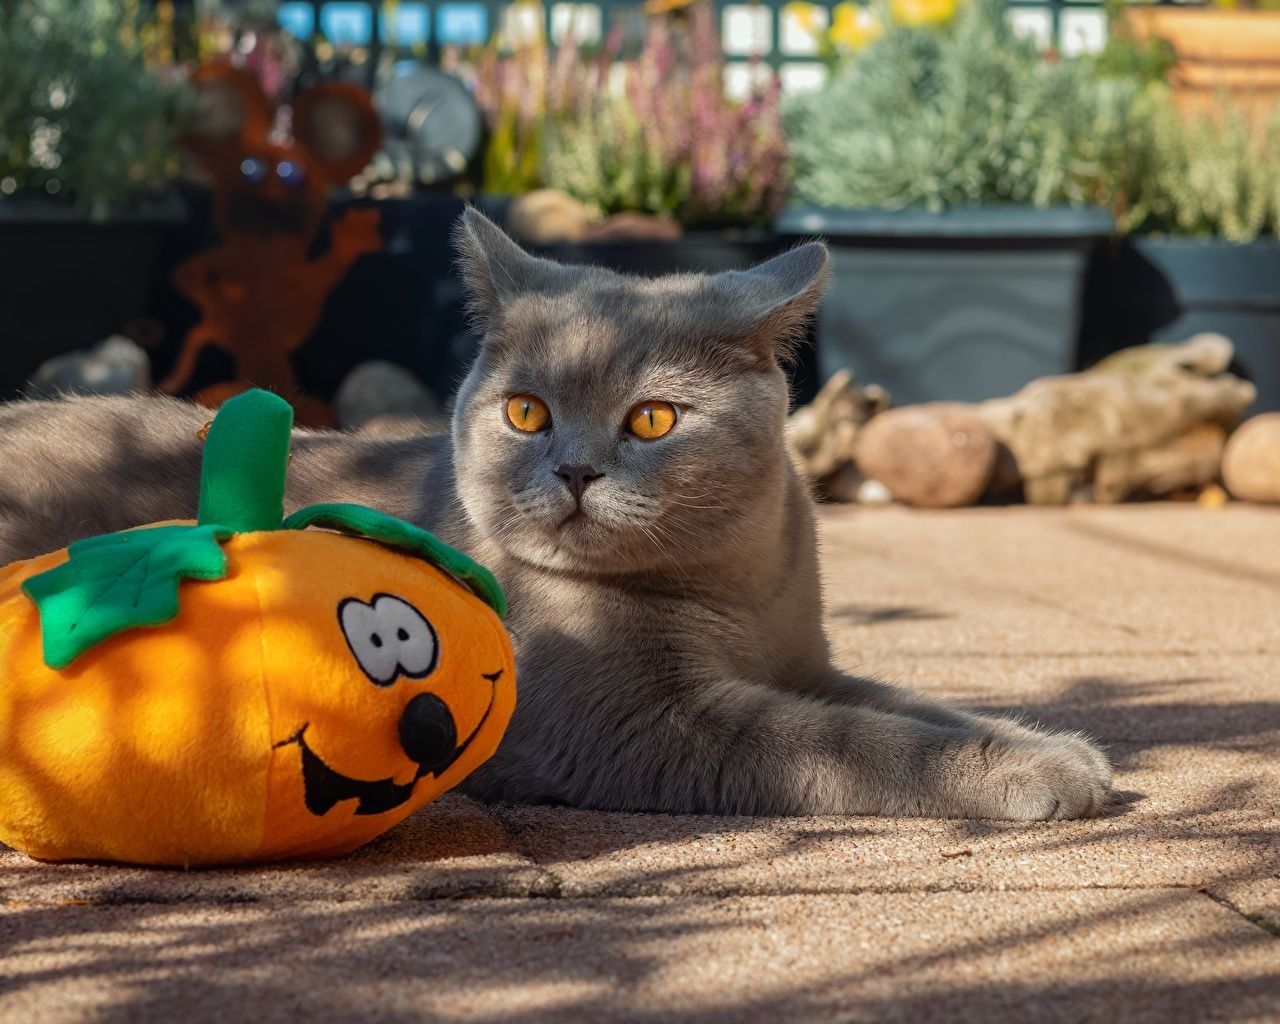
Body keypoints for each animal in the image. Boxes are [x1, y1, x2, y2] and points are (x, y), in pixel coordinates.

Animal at [0, 212, 1111, 819]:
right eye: (526, 412)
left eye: (653, 418)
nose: (574, 471)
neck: (730, 590)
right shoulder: (634, 722)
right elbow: (866, 742)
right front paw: (1034, 769)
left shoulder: (807, 661)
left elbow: (912, 705)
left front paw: (1066, 747)